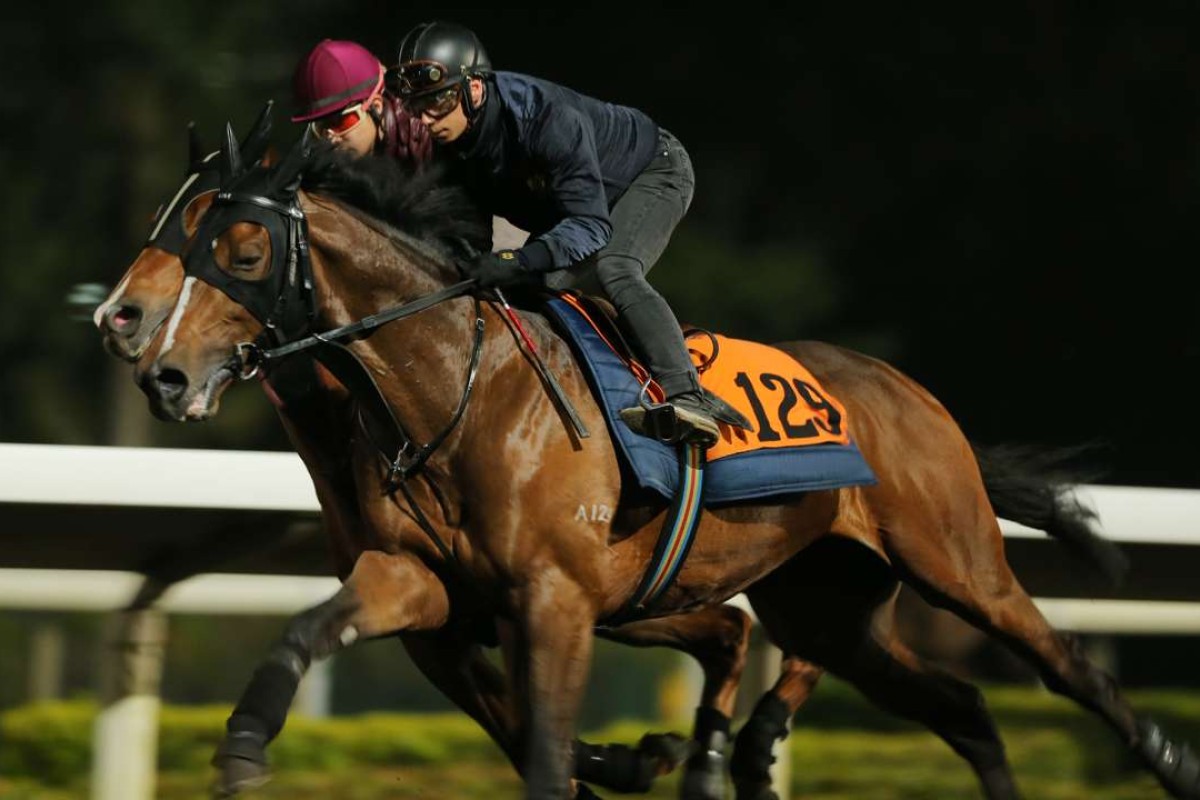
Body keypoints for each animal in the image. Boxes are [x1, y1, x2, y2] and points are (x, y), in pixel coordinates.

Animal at [131, 131, 1200, 800]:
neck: (457, 393)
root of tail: (911, 395)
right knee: (964, 707)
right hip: (830, 604)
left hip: (955, 560)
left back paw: (1167, 756)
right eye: (176, 231)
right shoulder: (426, 586)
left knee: (1064, 666)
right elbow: (307, 631)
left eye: (241, 246)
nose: (156, 362)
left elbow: (545, 755)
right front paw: (240, 749)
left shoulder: (555, 602)